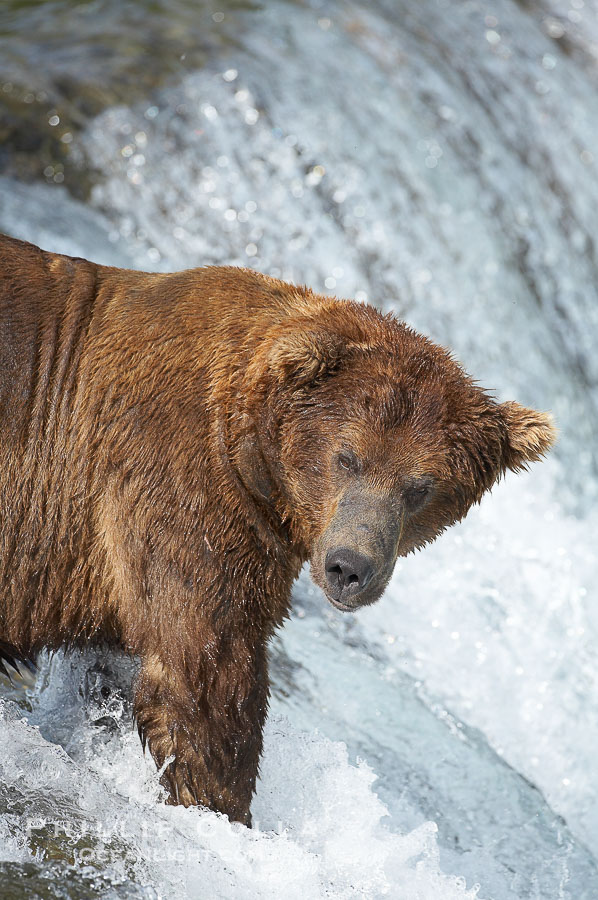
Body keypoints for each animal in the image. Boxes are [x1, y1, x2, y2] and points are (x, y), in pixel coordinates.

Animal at [0, 233, 555, 825]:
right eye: (347, 457)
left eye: (420, 487)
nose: (350, 567)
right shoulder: (176, 486)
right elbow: (206, 671)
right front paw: (224, 807)